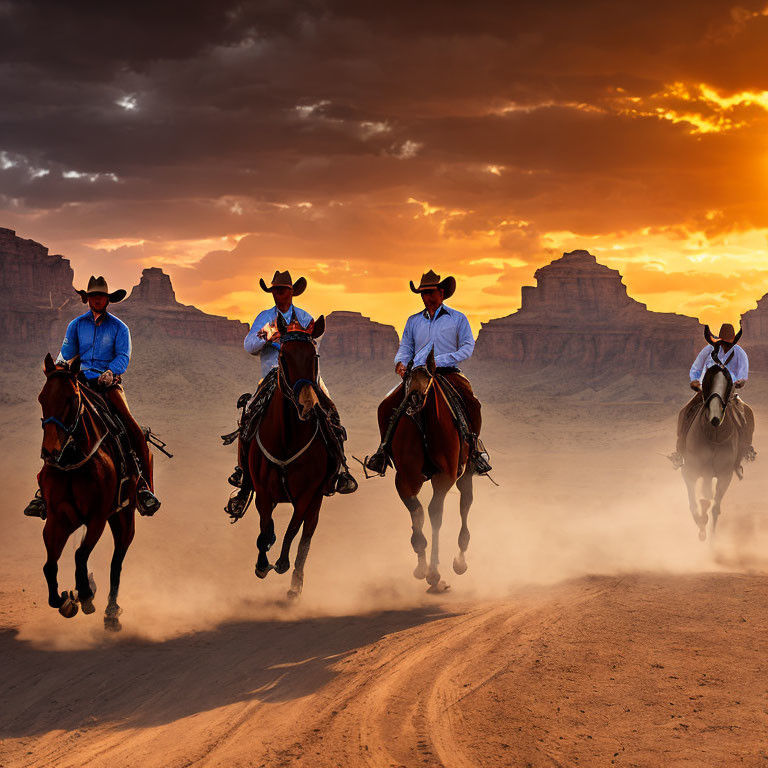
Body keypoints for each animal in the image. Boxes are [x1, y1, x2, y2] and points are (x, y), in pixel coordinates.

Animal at [37, 354, 138, 632]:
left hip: (124, 517)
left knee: (117, 562)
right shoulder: (57, 519)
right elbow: (49, 565)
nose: (50, 451)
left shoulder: (97, 518)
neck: (75, 459)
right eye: (41, 397)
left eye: (72, 398)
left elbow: (81, 554)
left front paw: (84, 594)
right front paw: (65, 598)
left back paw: (111, 613)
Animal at [243, 314, 332, 600]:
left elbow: (294, 529)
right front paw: (262, 564)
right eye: (283, 356)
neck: (287, 439)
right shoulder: (262, 490)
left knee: (306, 538)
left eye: (314, 356)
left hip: (316, 502)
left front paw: (281, 563)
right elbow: (264, 525)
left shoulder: (308, 494)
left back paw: (295, 585)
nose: (307, 404)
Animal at [388, 350, 472, 592]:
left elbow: (435, 514)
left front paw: (434, 573)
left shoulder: (445, 477)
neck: (425, 425)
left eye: (429, 379)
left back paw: (460, 561)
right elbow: (417, 513)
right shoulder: (404, 479)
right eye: (407, 377)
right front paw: (420, 566)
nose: (414, 400)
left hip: (466, 473)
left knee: (465, 503)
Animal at [684, 344, 744, 544]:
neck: (713, 434)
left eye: (729, 384)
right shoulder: (692, 471)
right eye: (707, 380)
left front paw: (710, 537)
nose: (715, 417)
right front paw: (701, 527)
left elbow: (714, 506)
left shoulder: (724, 475)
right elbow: (695, 502)